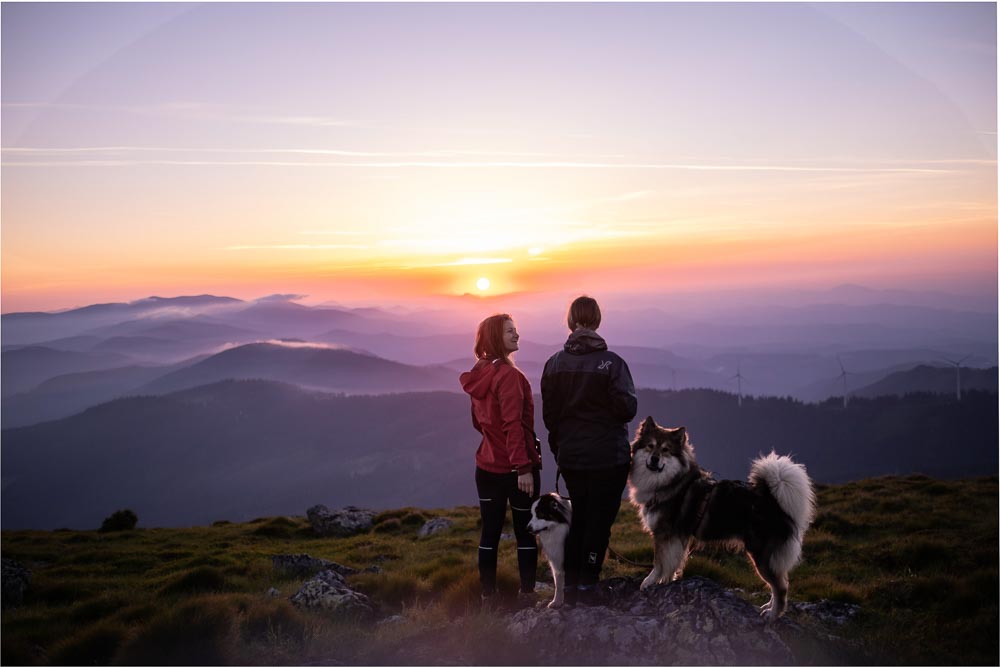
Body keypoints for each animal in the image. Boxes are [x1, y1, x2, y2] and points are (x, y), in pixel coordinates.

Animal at [628, 414, 816, 624]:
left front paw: (650, 582)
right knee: (779, 583)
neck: (669, 483)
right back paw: (768, 607)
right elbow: (672, 563)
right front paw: (667, 581)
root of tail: (773, 500)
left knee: (781, 587)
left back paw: (772, 614)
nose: (655, 458)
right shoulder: (678, 538)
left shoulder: (664, 534)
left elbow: (659, 563)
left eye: (665, 450)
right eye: (650, 446)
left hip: (761, 554)